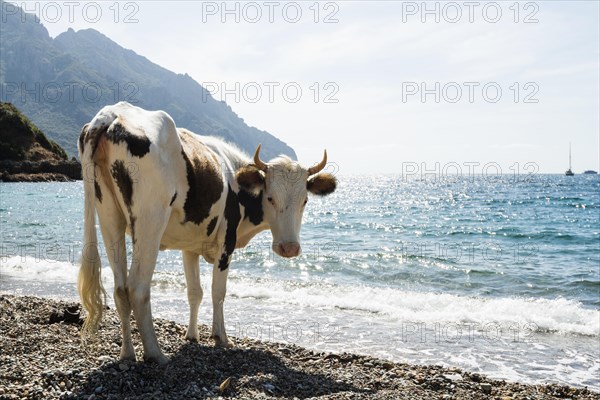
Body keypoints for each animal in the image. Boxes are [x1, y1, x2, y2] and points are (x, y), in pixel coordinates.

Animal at [77, 101, 338, 364]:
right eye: (270, 198)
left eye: (305, 200)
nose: (289, 248)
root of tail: (112, 113)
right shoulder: (226, 241)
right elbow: (217, 291)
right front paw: (220, 337)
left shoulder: (190, 246)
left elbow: (195, 291)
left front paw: (192, 335)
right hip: (150, 220)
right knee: (138, 287)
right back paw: (156, 354)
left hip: (109, 216)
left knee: (120, 289)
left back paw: (127, 354)